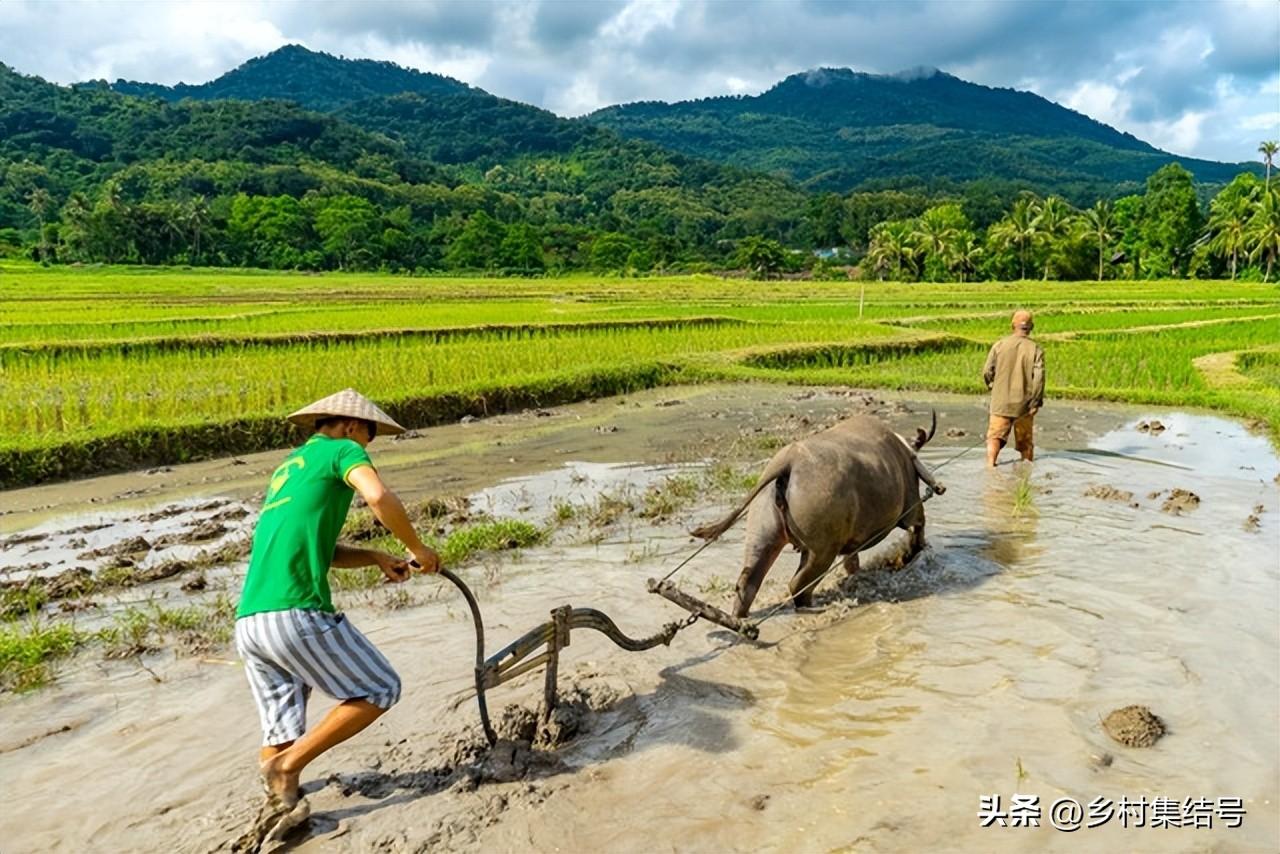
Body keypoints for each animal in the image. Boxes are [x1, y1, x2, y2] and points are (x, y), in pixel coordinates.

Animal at [691, 412, 942, 617]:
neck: (903, 449)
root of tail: (787, 462)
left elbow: (852, 562)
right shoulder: (911, 504)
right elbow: (919, 525)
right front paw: (914, 552)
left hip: (762, 529)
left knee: (749, 580)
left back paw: (740, 618)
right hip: (821, 548)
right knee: (799, 585)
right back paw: (816, 608)